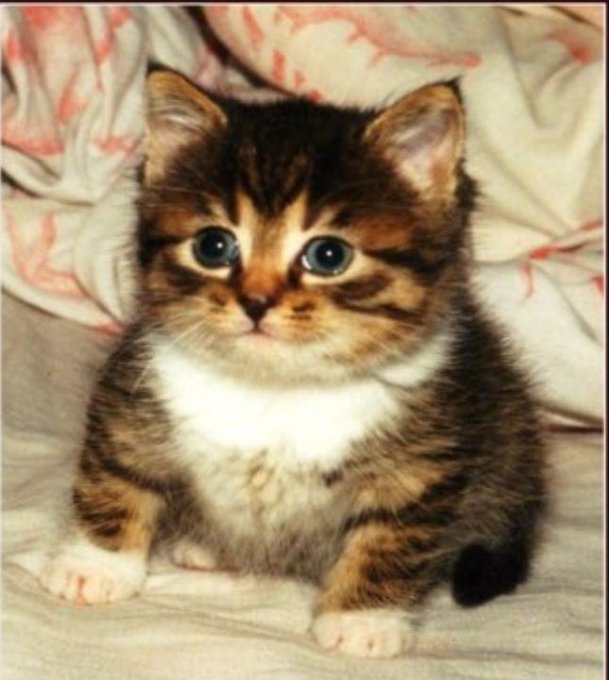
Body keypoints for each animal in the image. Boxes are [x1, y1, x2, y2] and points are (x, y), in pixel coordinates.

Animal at [41, 70, 548, 660]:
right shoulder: (133, 388)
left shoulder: (429, 448)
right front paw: (96, 564)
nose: (256, 302)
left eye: (329, 255)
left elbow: (393, 533)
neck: (277, 389)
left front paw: (363, 619)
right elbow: (117, 470)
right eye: (213, 246)